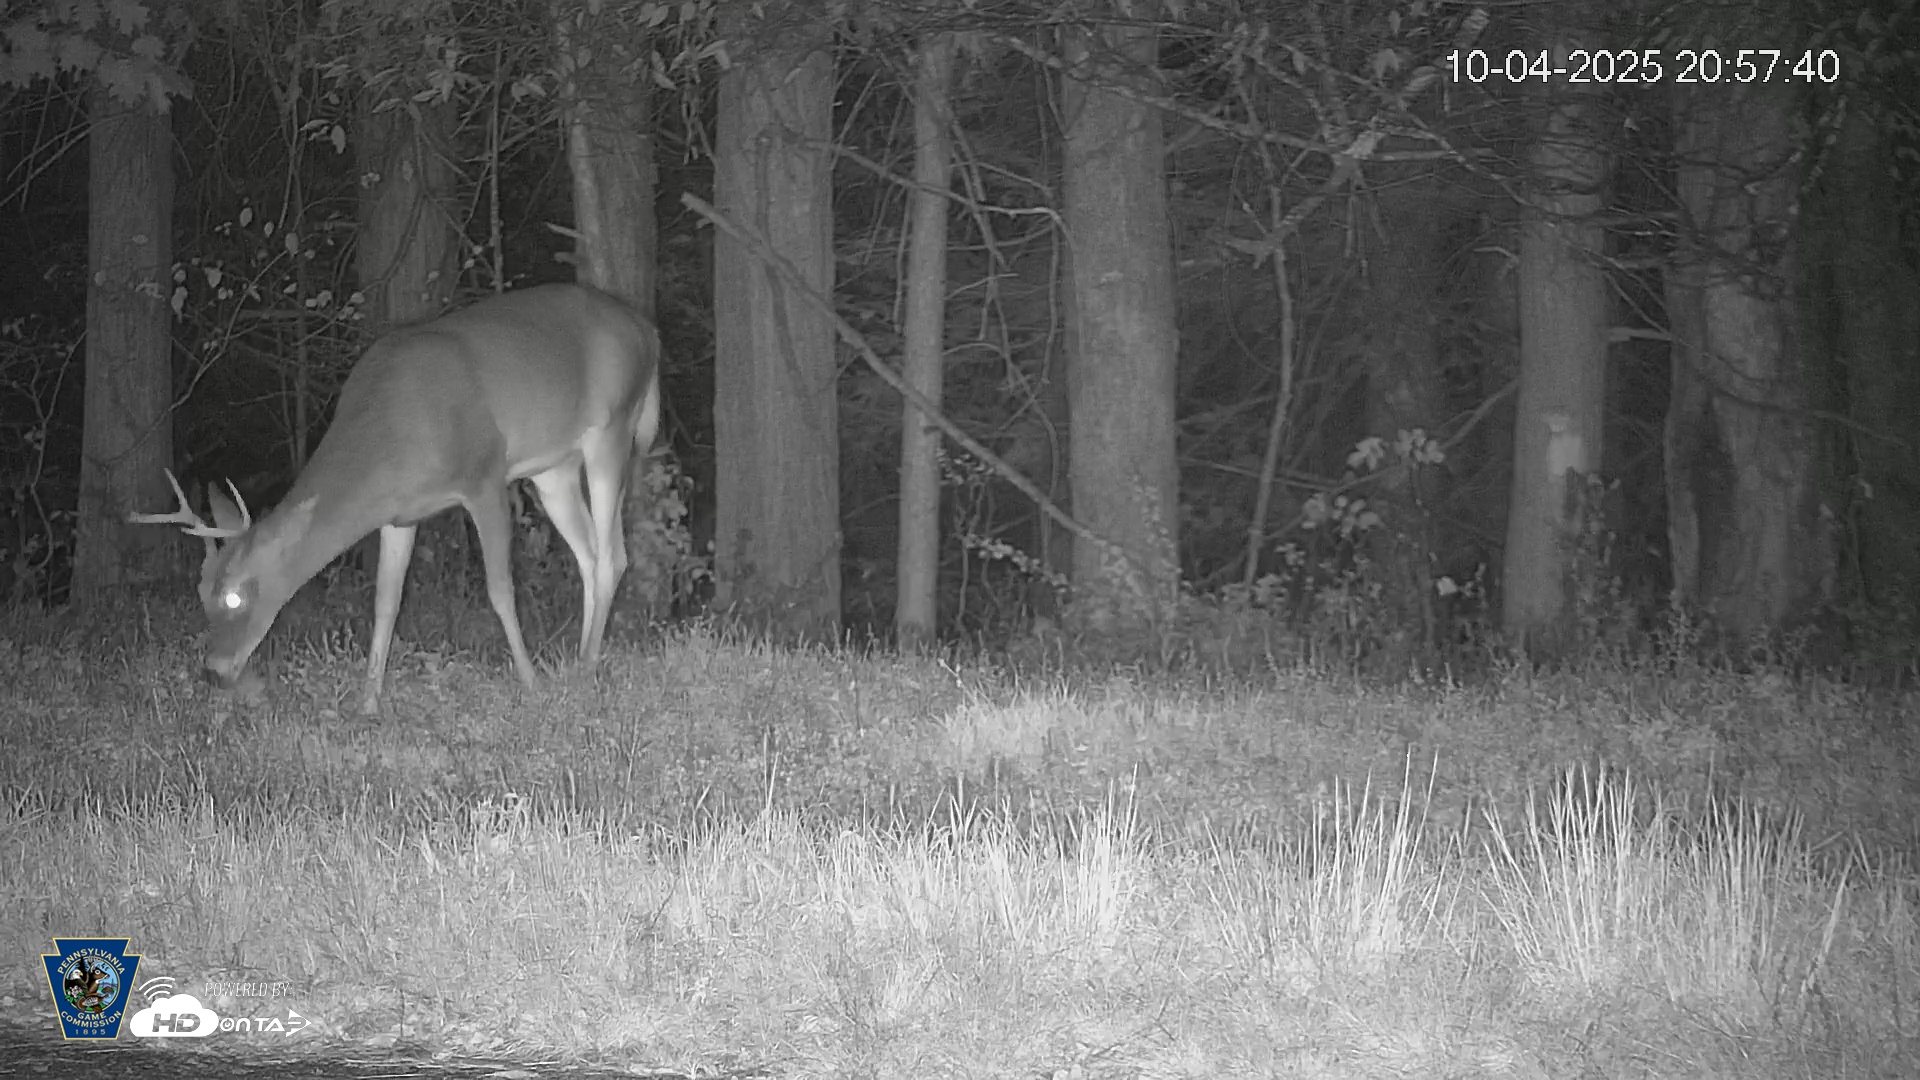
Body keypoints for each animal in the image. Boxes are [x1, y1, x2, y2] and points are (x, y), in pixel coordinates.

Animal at [131, 283, 661, 716]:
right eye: (202, 593)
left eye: (236, 594)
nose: (214, 669)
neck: (387, 435)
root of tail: (647, 327)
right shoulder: (398, 514)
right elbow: (386, 601)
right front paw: (368, 703)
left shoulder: (484, 475)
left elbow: (499, 588)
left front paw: (530, 684)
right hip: (554, 469)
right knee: (590, 555)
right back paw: (581, 660)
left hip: (612, 429)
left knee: (613, 555)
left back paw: (587, 666)